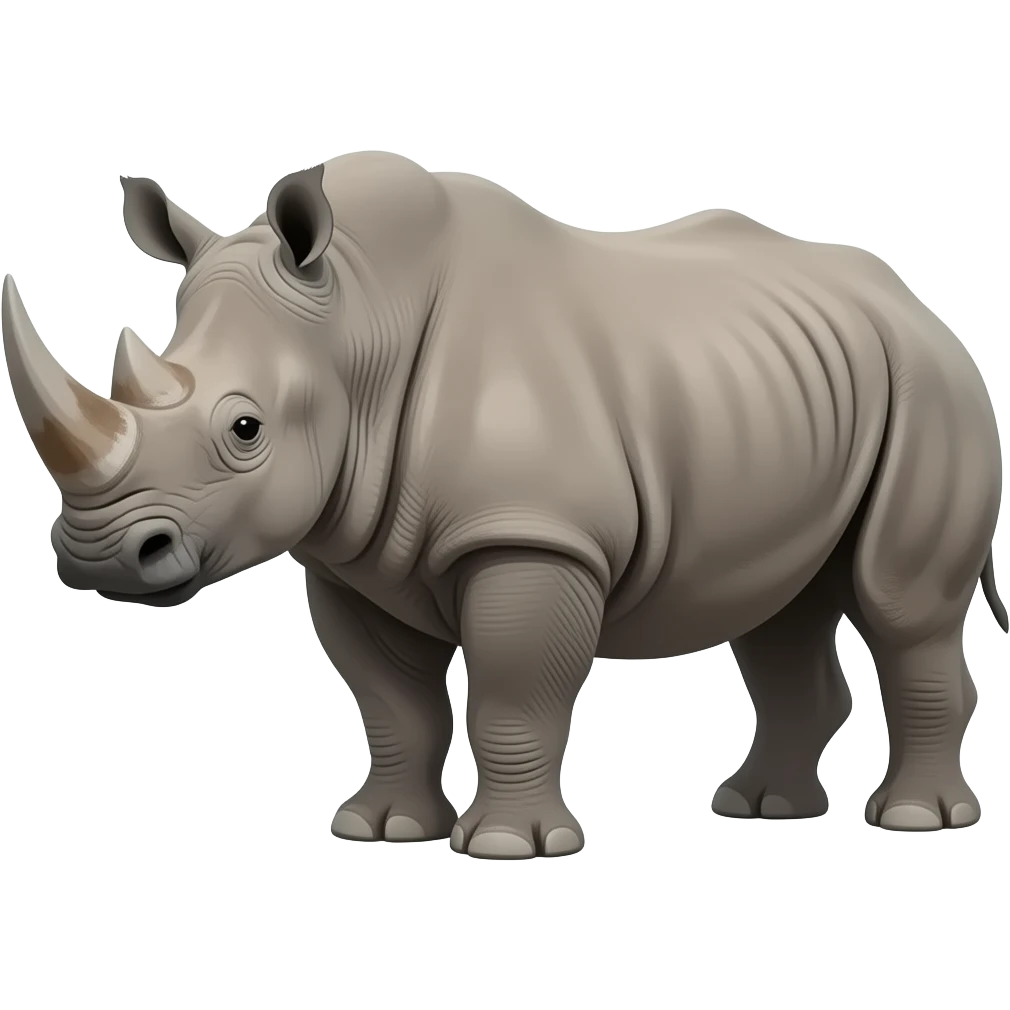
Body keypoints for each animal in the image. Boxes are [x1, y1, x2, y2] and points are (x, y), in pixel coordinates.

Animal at [2, 153, 1004, 856]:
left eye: (245, 429)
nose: (95, 556)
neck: (357, 320)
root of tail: (924, 308)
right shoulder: (349, 552)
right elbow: (392, 701)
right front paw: (382, 831)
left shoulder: (533, 536)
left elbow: (513, 693)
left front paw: (508, 847)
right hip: (792, 391)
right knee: (780, 610)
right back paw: (762, 810)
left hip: (935, 391)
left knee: (902, 604)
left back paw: (913, 820)